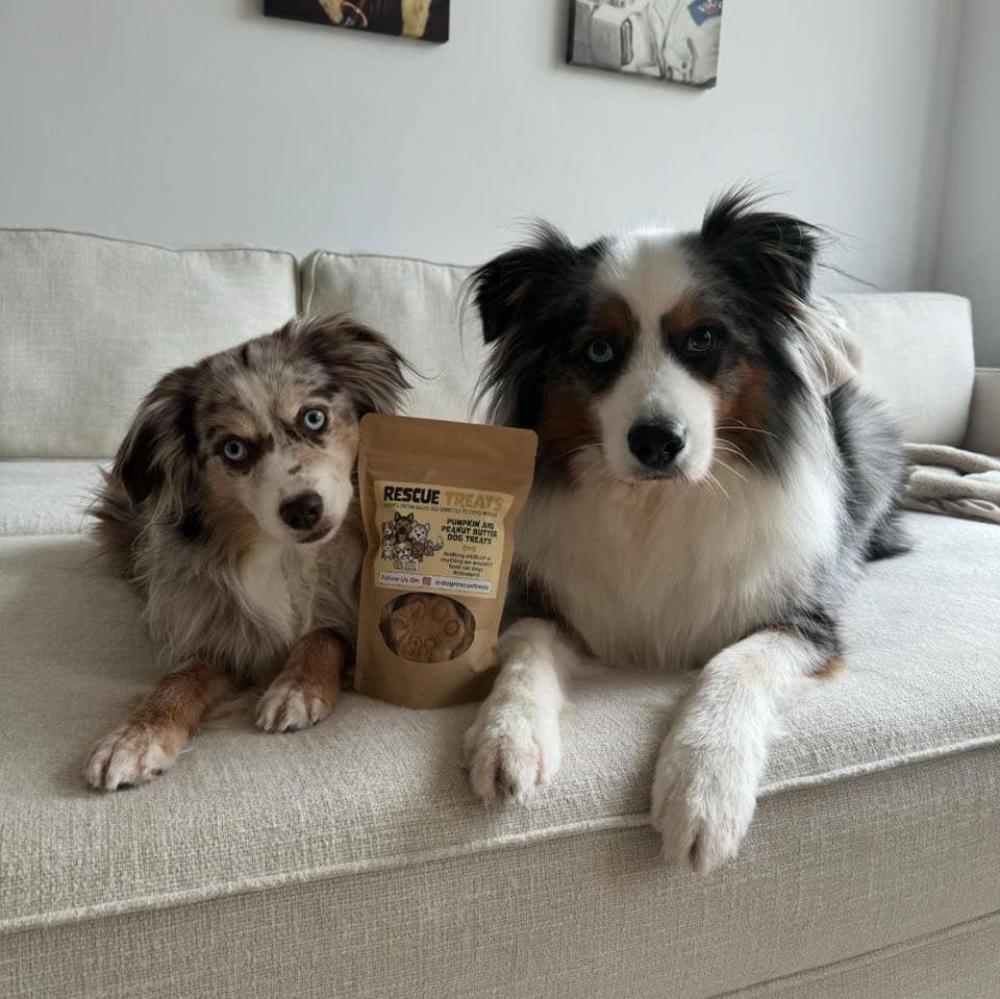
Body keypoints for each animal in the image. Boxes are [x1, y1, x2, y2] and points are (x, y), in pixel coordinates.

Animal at [464, 191, 912, 872]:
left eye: (703, 338)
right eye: (599, 350)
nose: (656, 442)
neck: (657, 504)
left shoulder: (805, 621)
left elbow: (735, 662)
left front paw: (702, 789)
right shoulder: (548, 597)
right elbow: (525, 649)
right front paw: (505, 735)